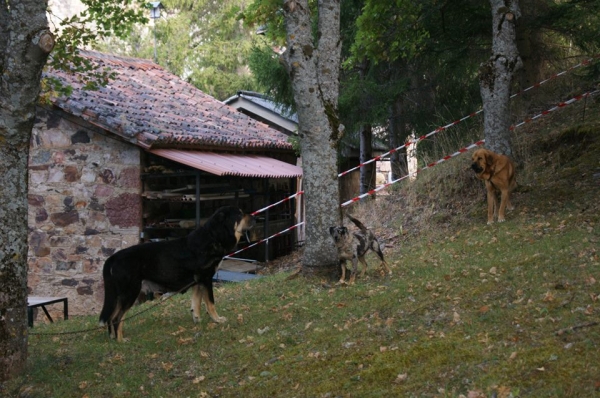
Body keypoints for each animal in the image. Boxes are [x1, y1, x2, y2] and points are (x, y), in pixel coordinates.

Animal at [99, 207, 254, 340]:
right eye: (239, 214)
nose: (255, 218)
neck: (213, 237)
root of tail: (114, 257)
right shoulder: (206, 279)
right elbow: (210, 303)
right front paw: (217, 319)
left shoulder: (197, 282)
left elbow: (196, 304)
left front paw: (197, 320)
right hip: (130, 292)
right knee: (117, 318)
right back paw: (121, 340)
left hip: (119, 295)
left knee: (110, 318)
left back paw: (113, 337)